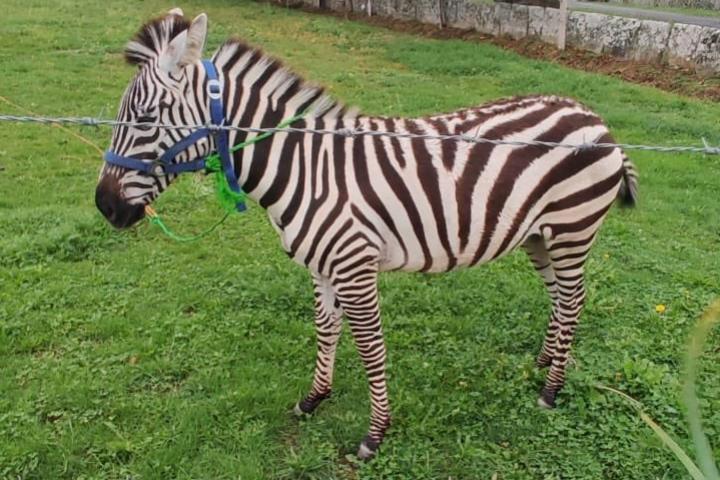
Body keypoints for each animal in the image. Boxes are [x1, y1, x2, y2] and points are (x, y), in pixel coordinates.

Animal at [95, 9, 639, 459]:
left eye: (144, 118)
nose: (104, 206)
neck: (306, 168)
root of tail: (593, 117)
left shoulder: (355, 268)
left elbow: (371, 345)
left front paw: (375, 433)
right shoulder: (320, 266)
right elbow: (325, 329)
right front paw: (314, 398)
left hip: (572, 227)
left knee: (574, 299)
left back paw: (552, 389)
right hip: (539, 234)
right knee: (559, 298)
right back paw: (545, 362)